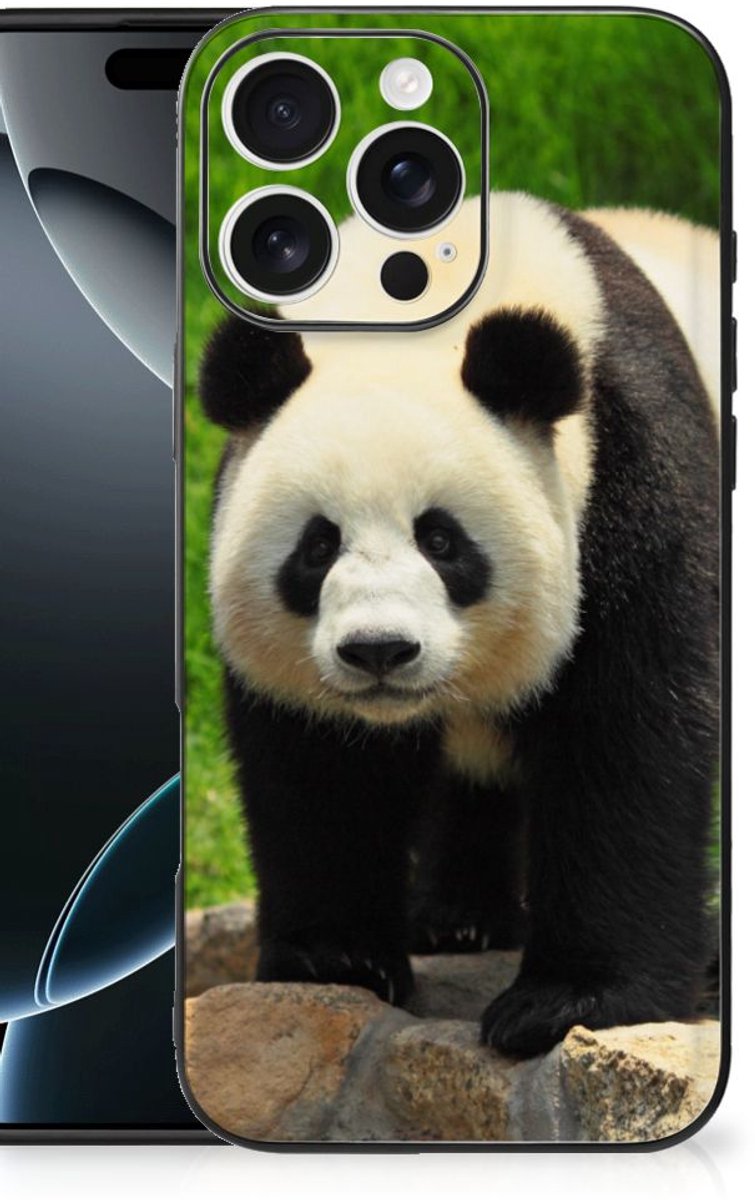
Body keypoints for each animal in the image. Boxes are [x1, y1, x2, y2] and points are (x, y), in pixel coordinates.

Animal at [198, 193, 719, 1058]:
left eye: (440, 540)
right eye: (317, 546)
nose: (378, 651)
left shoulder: (632, 478)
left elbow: (628, 735)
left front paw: (567, 1001)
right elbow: (319, 766)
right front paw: (335, 958)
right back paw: (458, 919)